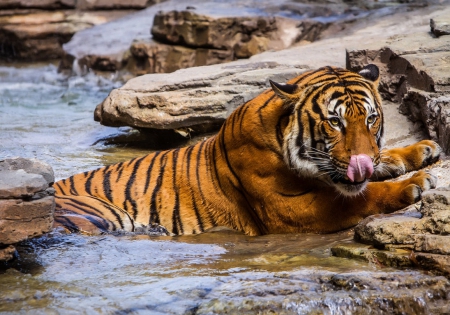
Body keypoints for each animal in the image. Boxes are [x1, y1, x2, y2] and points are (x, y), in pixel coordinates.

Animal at [51, 65, 440, 237]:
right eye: (335, 122)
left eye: (371, 119)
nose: (362, 162)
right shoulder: (292, 209)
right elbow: (364, 196)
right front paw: (415, 183)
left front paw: (422, 149)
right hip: (96, 215)